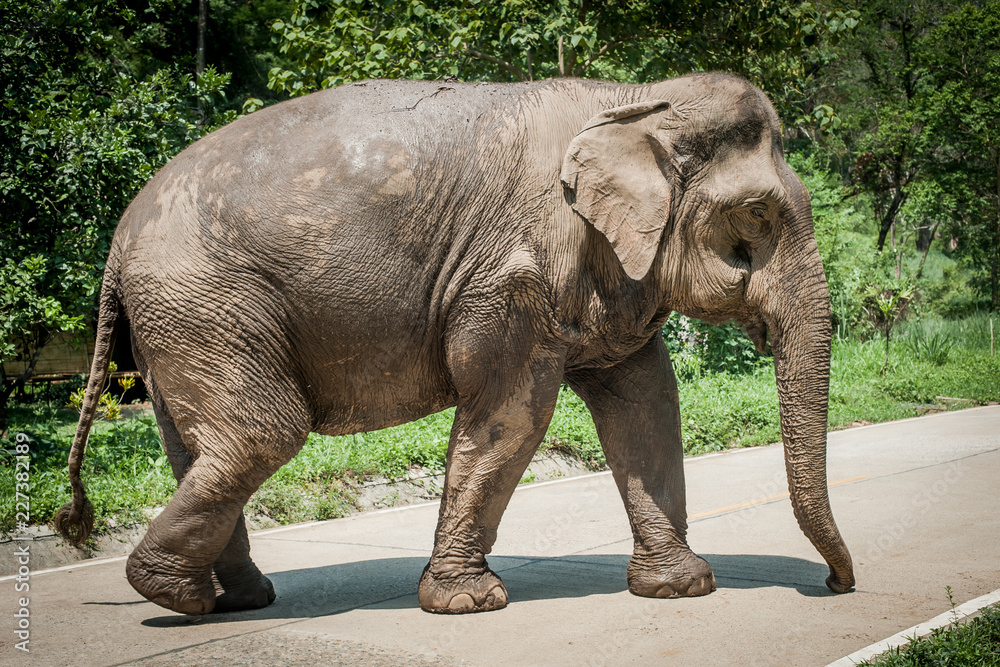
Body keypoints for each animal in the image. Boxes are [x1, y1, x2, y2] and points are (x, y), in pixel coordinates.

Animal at [56, 72, 855, 616]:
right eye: (755, 215)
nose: (835, 583)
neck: (635, 99)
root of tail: (117, 244)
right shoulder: (516, 273)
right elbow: (513, 414)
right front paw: (470, 603)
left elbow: (647, 401)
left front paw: (681, 588)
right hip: (206, 300)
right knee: (262, 433)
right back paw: (172, 596)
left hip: (181, 319)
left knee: (199, 445)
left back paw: (236, 598)